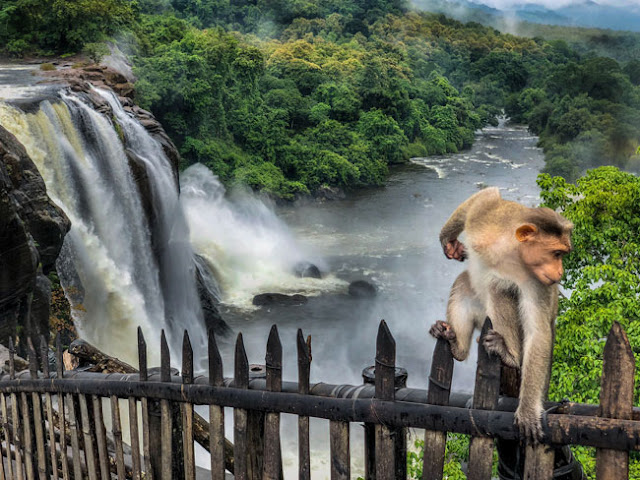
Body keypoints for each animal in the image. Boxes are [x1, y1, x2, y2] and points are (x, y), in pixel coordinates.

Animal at [430, 188, 576, 442]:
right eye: (557, 253)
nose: (559, 272)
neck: (511, 255)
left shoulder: (537, 281)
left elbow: (537, 332)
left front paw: (527, 410)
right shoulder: (484, 221)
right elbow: (485, 196)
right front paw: (448, 241)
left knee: (500, 290)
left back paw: (509, 356)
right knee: (466, 283)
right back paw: (456, 345)